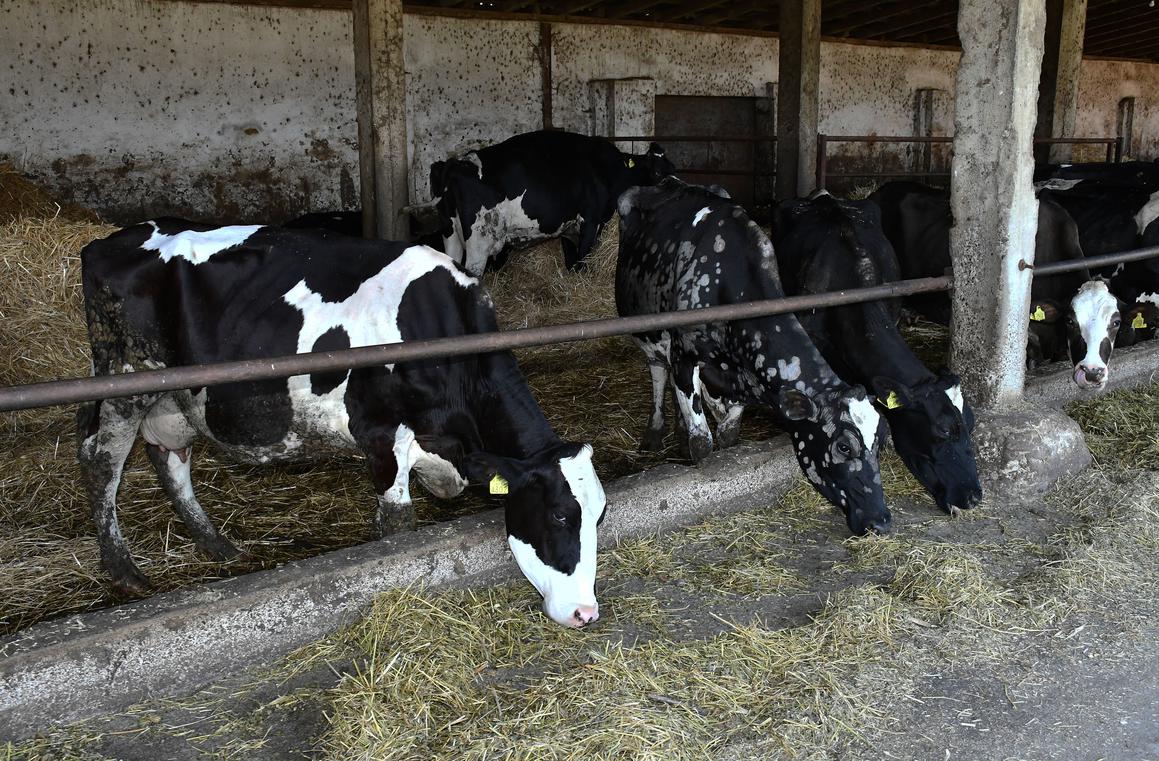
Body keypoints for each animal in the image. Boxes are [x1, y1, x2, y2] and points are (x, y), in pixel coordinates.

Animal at [79, 217, 607, 625]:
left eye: (599, 515)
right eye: (560, 515)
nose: (585, 613)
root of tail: (108, 241)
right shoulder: (381, 436)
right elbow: (397, 526)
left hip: (176, 398)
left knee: (166, 454)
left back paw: (216, 545)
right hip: (123, 378)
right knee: (101, 461)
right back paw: (124, 572)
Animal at [431, 129, 676, 274]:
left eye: (673, 169)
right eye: (656, 173)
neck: (607, 170)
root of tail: (456, 163)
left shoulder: (568, 227)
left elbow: (570, 258)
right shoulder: (591, 220)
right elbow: (582, 257)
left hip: (450, 236)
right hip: (479, 243)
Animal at [621, 178, 890, 535]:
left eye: (882, 441)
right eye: (844, 446)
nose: (881, 520)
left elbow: (728, 432)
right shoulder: (683, 356)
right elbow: (703, 442)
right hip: (648, 332)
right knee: (656, 369)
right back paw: (654, 431)